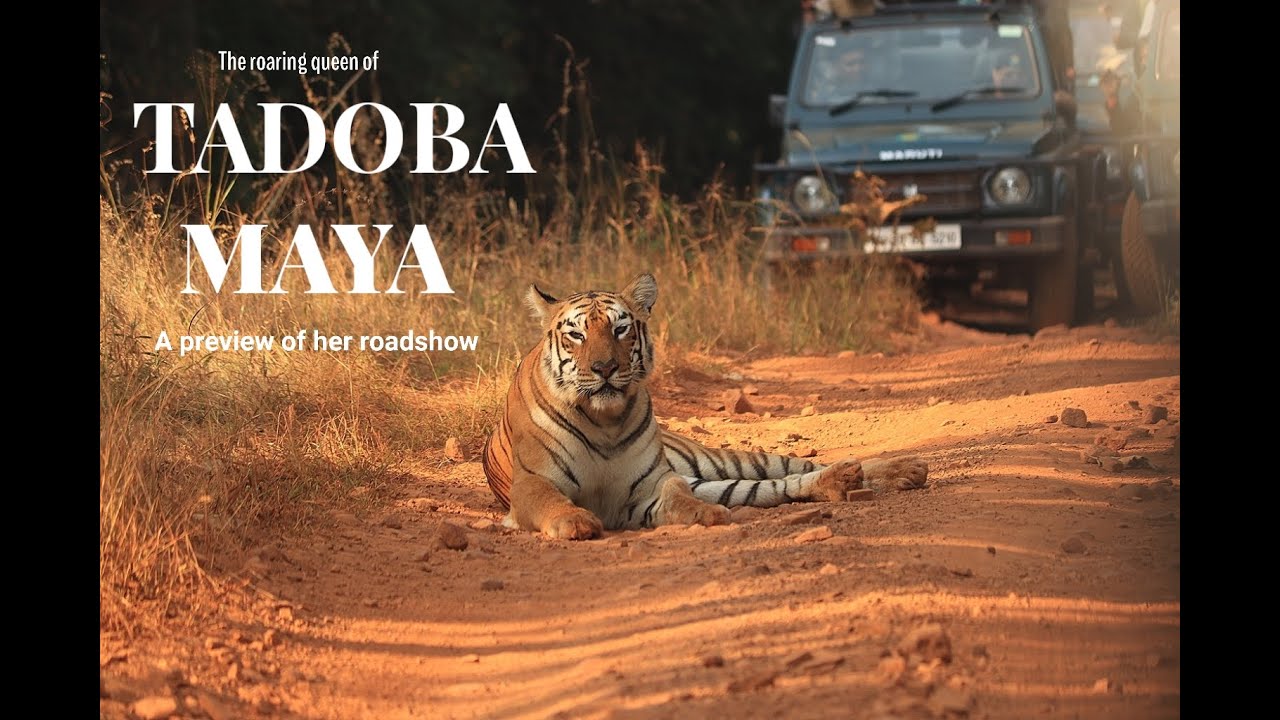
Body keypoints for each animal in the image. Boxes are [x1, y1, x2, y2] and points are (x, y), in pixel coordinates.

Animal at [481, 273, 928, 539]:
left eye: (620, 328)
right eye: (576, 334)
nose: (605, 368)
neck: (604, 420)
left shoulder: (646, 488)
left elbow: (677, 494)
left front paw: (703, 514)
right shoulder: (533, 483)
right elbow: (551, 500)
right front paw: (575, 521)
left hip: (724, 461)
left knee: (794, 468)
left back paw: (900, 470)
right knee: (775, 486)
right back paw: (844, 481)